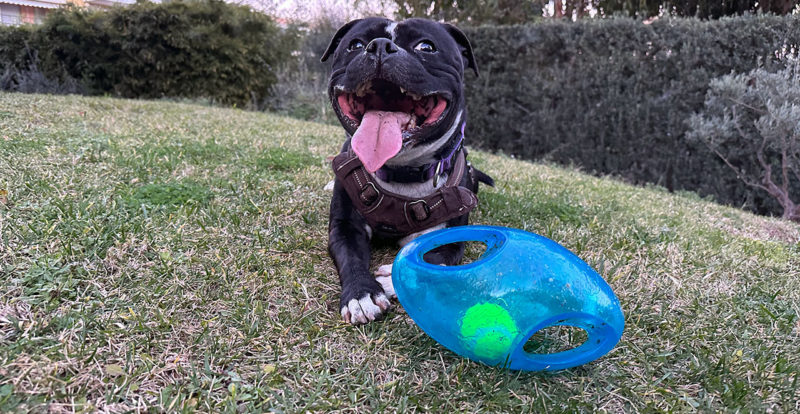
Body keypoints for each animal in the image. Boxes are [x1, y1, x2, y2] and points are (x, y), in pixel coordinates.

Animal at [322, 18, 490, 324]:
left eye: (426, 47)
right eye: (355, 45)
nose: (379, 46)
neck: (401, 171)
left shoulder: (451, 239)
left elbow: (436, 259)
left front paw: (392, 278)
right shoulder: (344, 227)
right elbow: (351, 257)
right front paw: (361, 294)